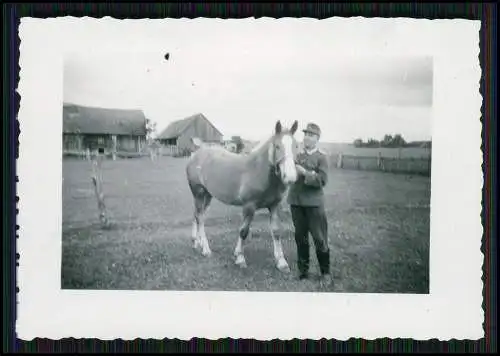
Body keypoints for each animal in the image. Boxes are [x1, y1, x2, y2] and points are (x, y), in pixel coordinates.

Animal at [187, 121, 296, 272]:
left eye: (296, 146)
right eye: (277, 146)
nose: (290, 177)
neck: (258, 170)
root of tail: (195, 154)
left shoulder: (274, 205)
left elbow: (276, 231)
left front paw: (281, 262)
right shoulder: (249, 206)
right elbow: (243, 231)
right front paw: (239, 258)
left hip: (207, 196)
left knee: (197, 215)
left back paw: (196, 242)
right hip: (199, 193)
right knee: (200, 218)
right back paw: (206, 249)